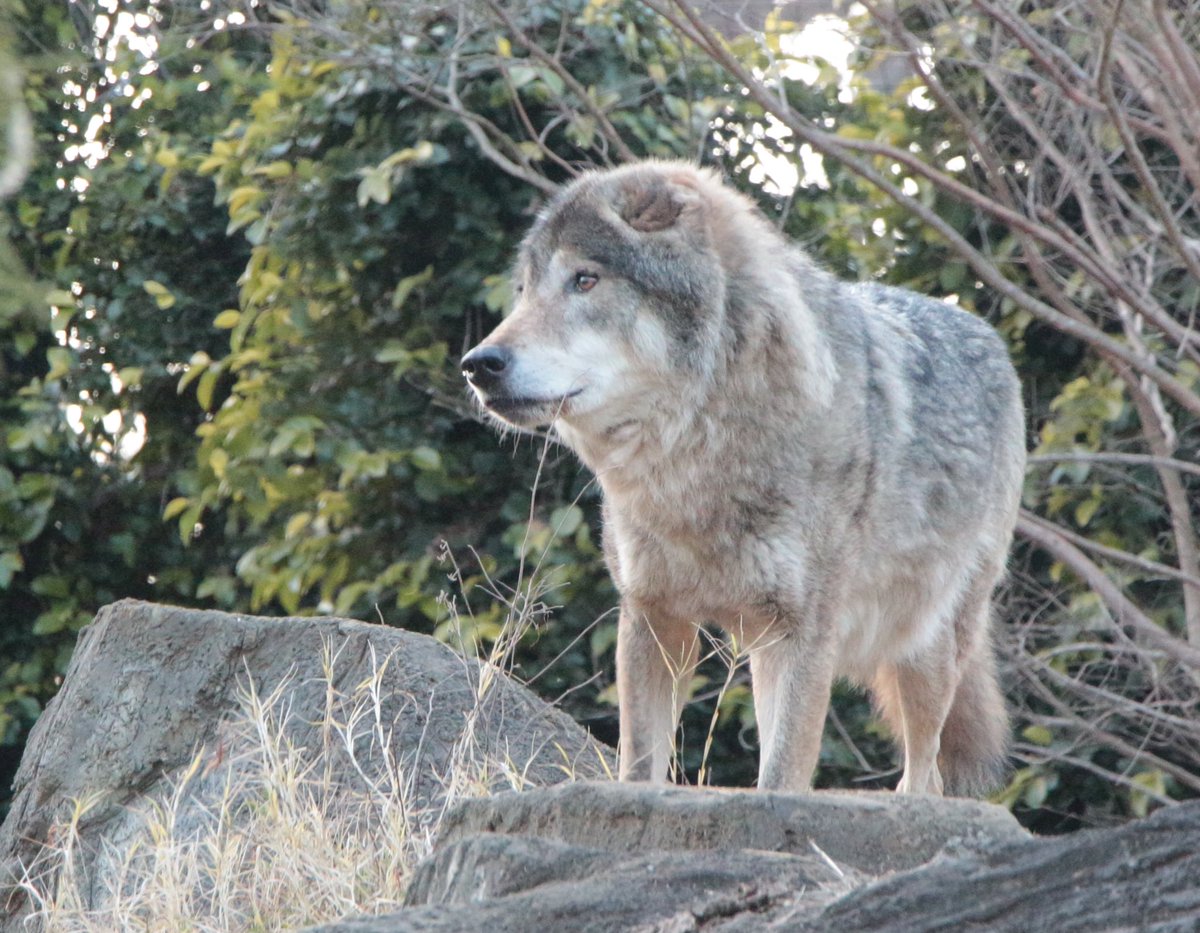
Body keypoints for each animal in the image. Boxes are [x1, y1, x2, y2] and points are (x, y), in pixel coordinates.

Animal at [463, 161, 1027, 791]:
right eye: (523, 291)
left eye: (584, 280)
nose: (478, 365)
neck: (695, 464)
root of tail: (987, 335)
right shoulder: (652, 620)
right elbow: (641, 768)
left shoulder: (805, 634)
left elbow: (781, 778)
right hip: (763, 652)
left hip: (925, 646)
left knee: (924, 771)